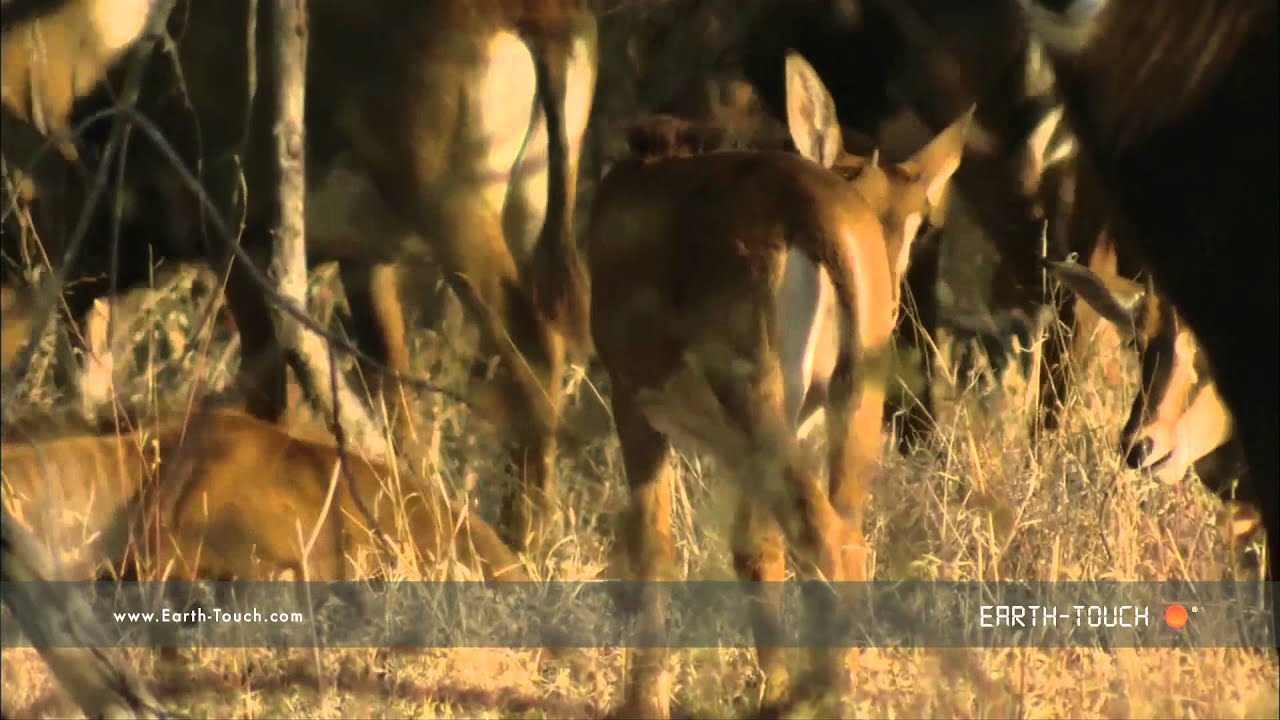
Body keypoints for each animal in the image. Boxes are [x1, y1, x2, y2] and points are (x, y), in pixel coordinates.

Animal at [588, 53, 970, 718]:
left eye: (919, 223)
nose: (893, 290)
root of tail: (815, 215)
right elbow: (755, 547)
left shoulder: (632, 397)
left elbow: (653, 546)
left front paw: (642, 702)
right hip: (846, 401)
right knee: (844, 535)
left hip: (754, 393)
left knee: (824, 537)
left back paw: (819, 694)